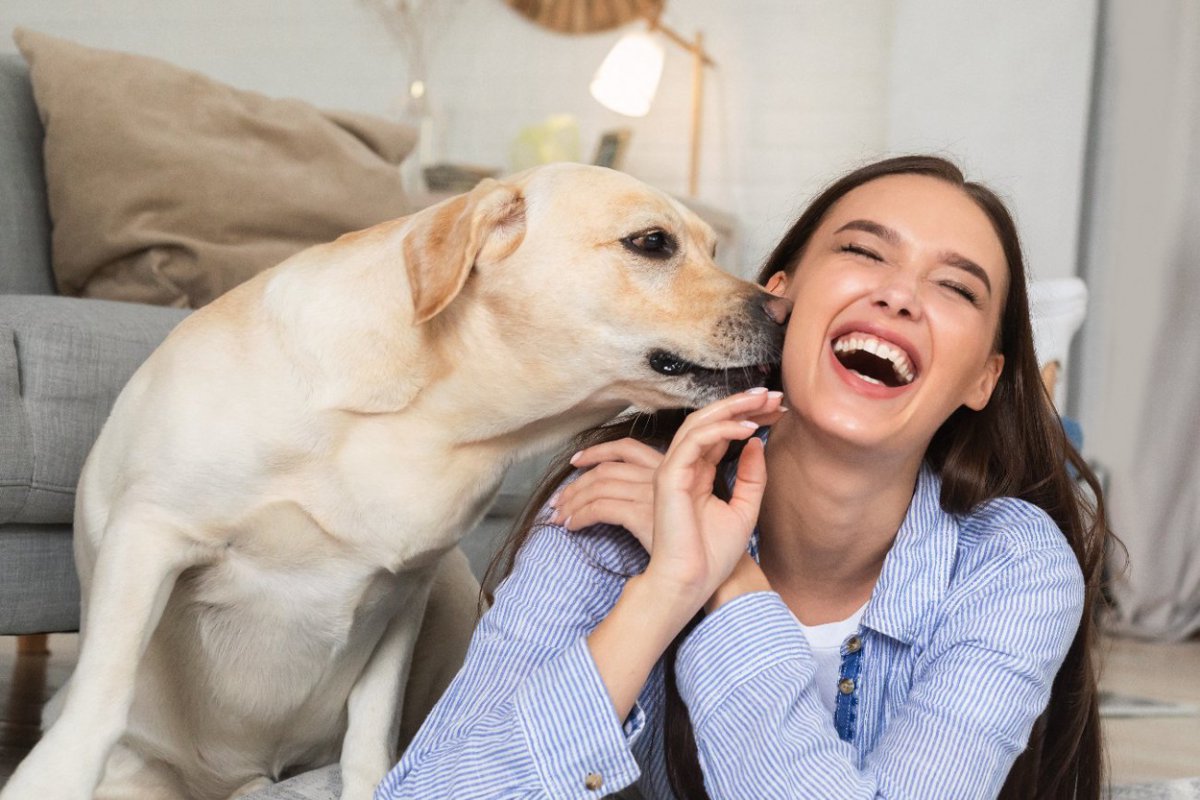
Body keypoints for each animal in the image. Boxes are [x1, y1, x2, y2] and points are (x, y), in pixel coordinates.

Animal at [4, 164, 792, 800]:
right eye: (652, 243)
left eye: (712, 250)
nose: (782, 309)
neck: (427, 417)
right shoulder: (151, 534)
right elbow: (103, 698)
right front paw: (48, 780)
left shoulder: (405, 589)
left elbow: (370, 733)